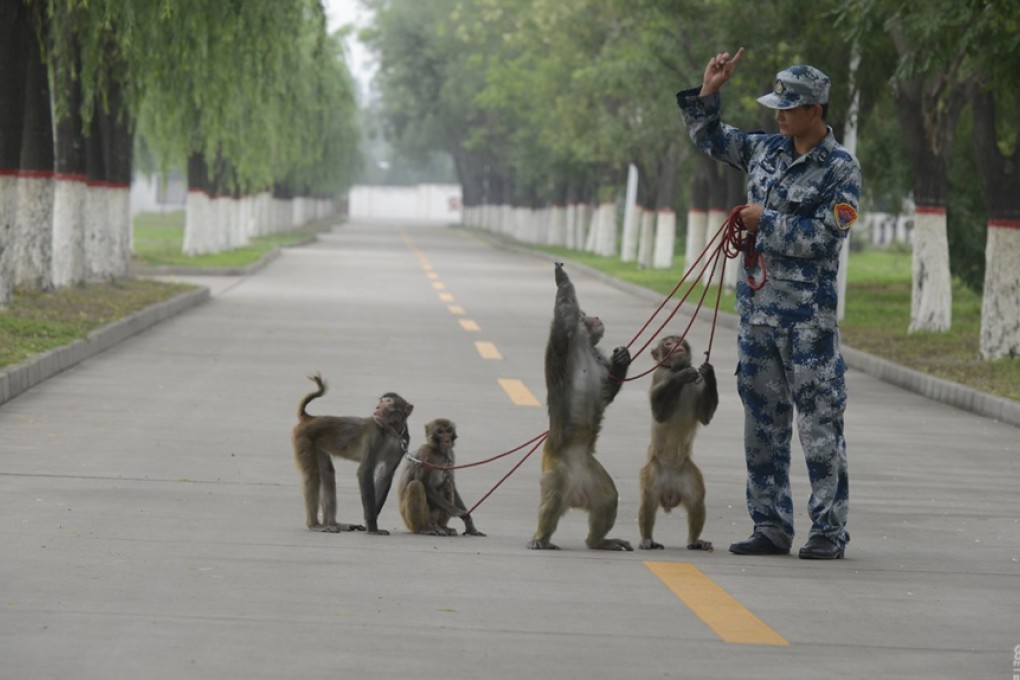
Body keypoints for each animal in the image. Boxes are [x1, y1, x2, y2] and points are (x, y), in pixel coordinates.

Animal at [291, 374, 413, 534]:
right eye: (381, 401)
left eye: (388, 401)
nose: (378, 407)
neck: (390, 431)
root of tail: (310, 418)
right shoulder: (374, 437)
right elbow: (365, 472)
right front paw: (372, 527)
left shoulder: (403, 440)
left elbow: (385, 474)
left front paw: (371, 522)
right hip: (304, 439)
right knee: (312, 476)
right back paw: (315, 525)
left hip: (316, 444)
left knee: (327, 474)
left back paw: (333, 523)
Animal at [528, 262, 633, 551]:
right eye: (586, 314)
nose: (594, 315)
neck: (586, 343)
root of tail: (574, 494)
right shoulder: (567, 334)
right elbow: (565, 311)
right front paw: (561, 279)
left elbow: (605, 393)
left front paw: (622, 361)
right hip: (554, 471)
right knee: (551, 502)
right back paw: (540, 537)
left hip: (590, 474)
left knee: (608, 498)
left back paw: (598, 541)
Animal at [638, 335, 719, 551]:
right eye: (667, 343)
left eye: (678, 340)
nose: (676, 344)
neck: (674, 368)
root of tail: (670, 491)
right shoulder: (659, 375)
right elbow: (660, 414)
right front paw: (681, 376)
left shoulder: (699, 385)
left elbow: (705, 417)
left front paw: (709, 372)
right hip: (653, 473)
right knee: (649, 502)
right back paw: (647, 538)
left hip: (688, 475)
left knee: (697, 500)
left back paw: (695, 541)